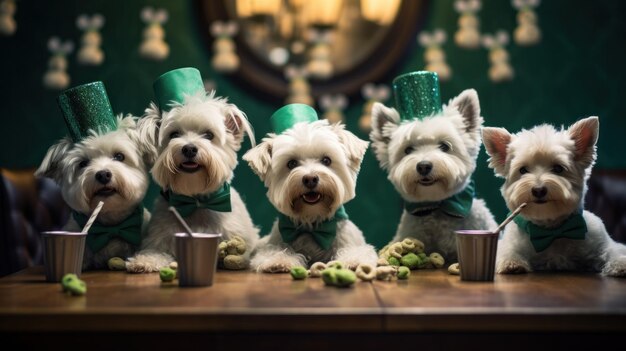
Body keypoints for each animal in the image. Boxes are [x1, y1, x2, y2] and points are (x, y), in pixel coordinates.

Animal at [127, 89, 258, 274]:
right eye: (174, 134)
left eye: (209, 135)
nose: (189, 148)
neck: (196, 202)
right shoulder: (158, 238)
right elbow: (154, 252)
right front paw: (144, 261)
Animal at [243, 105, 376, 276]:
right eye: (291, 163)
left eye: (326, 160)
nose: (310, 178)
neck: (312, 222)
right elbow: (274, 253)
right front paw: (278, 261)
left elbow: (356, 252)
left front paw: (353, 261)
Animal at [480, 117, 624, 276]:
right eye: (523, 170)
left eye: (558, 168)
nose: (538, 190)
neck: (551, 231)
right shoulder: (510, 244)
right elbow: (508, 252)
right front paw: (511, 262)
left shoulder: (602, 242)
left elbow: (614, 251)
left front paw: (620, 263)